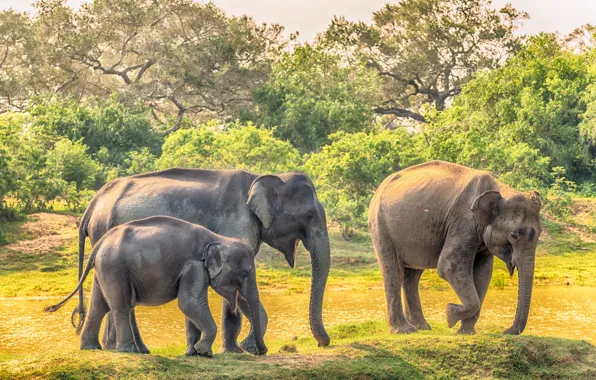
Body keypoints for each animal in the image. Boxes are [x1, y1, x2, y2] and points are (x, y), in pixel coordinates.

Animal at [46, 217, 268, 356]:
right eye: (245, 274)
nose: (262, 352)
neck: (218, 238)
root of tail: (100, 242)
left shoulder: (193, 268)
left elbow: (190, 307)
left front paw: (194, 353)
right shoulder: (193, 265)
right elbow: (189, 303)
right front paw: (204, 351)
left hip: (106, 269)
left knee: (101, 306)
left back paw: (92, 349)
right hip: (114, 268)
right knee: (121, 306)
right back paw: (129, 351)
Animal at [74, 169, 330, 354]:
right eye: (309, 216)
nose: (323, 343)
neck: (263, 176)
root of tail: (92, 204)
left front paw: (239, 349)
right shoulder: (236, 222)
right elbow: (236, 291)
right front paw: (237, 351)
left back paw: (115, 348)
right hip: (106, 235)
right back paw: (129, 350)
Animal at [368, 160, 540, 336]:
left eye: (539, 234)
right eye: (514, 235)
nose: (506, 331)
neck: (500, 188)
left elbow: (483, 273)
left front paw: (465, 332)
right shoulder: (463, 221)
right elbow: (449, 267)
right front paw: (450, 315)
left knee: (412, 276)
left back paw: (421, 327)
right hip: (380, 225)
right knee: (393, 271)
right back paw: (405, 330)